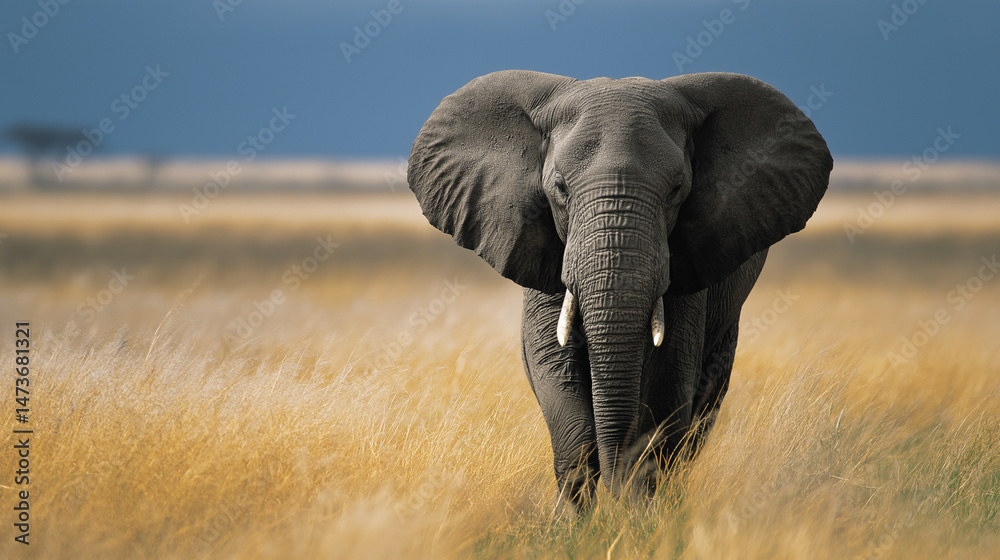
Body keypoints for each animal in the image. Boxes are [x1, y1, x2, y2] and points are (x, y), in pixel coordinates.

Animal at [406, 70, 832, 507]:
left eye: (677, 190)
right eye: (560, 188)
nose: (613, 496)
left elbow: (667, 378)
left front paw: (636, 512)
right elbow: (553, 366)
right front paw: (577, 519)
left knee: (703, 404)